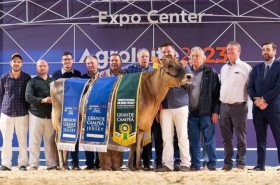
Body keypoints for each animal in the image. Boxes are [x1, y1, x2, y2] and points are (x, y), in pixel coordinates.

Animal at [50, 55, 192, 171]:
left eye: (180, 63)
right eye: (171, 65)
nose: (189, 76)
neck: (151, 93)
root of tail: (55, 82)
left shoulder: (142, 125)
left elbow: (139, 146)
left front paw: (139, 166)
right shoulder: (135, 122)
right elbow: (133, 146)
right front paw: (130, 166)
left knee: (64, 144)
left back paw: (66, 165)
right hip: (59, 122)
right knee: (57, 142)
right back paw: (62, 165)